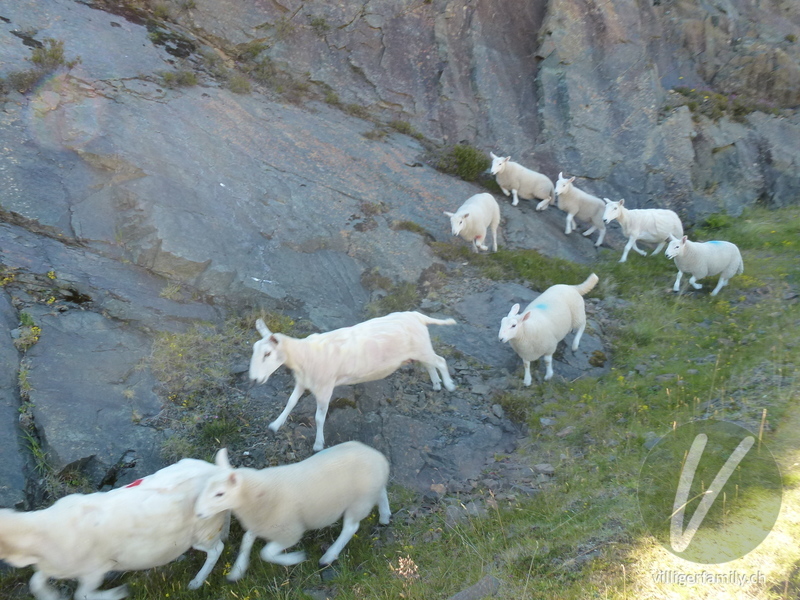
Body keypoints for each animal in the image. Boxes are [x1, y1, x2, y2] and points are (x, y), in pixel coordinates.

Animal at [0, 460, 230, 600]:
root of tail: (217, 471)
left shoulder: (94, 570)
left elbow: (83, 595)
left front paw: (118, 592)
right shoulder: (52, 566)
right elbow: (35, 582)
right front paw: (52, 596)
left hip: (203, 531)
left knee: (216, 550)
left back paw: (197, 582)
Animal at [197, 442, 390, 580]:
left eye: (220, 493)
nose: (198, 513)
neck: (258, 494)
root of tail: (378, 457)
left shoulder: (289, 531)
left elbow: (266, 553)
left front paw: (295, 558)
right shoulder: (263, 524)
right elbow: (246, 540)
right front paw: (237, 570)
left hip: (359, 502)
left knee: (350, 528)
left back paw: (328, 556)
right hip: (370, 492)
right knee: (382, 493)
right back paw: (385, 516)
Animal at [250, 314, 460, 450]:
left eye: (267, 354)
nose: (254, 379)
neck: (304, 354)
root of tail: (417, 316)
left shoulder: (325, 388)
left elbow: (319, 418)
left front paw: (318, 444)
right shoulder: (302, 382)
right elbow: (290, 403)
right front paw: (275, 425)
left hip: (422, 348)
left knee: (440, 361)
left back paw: (448, 385)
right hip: (418, 351)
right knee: (430, 364)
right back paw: (436, 384)